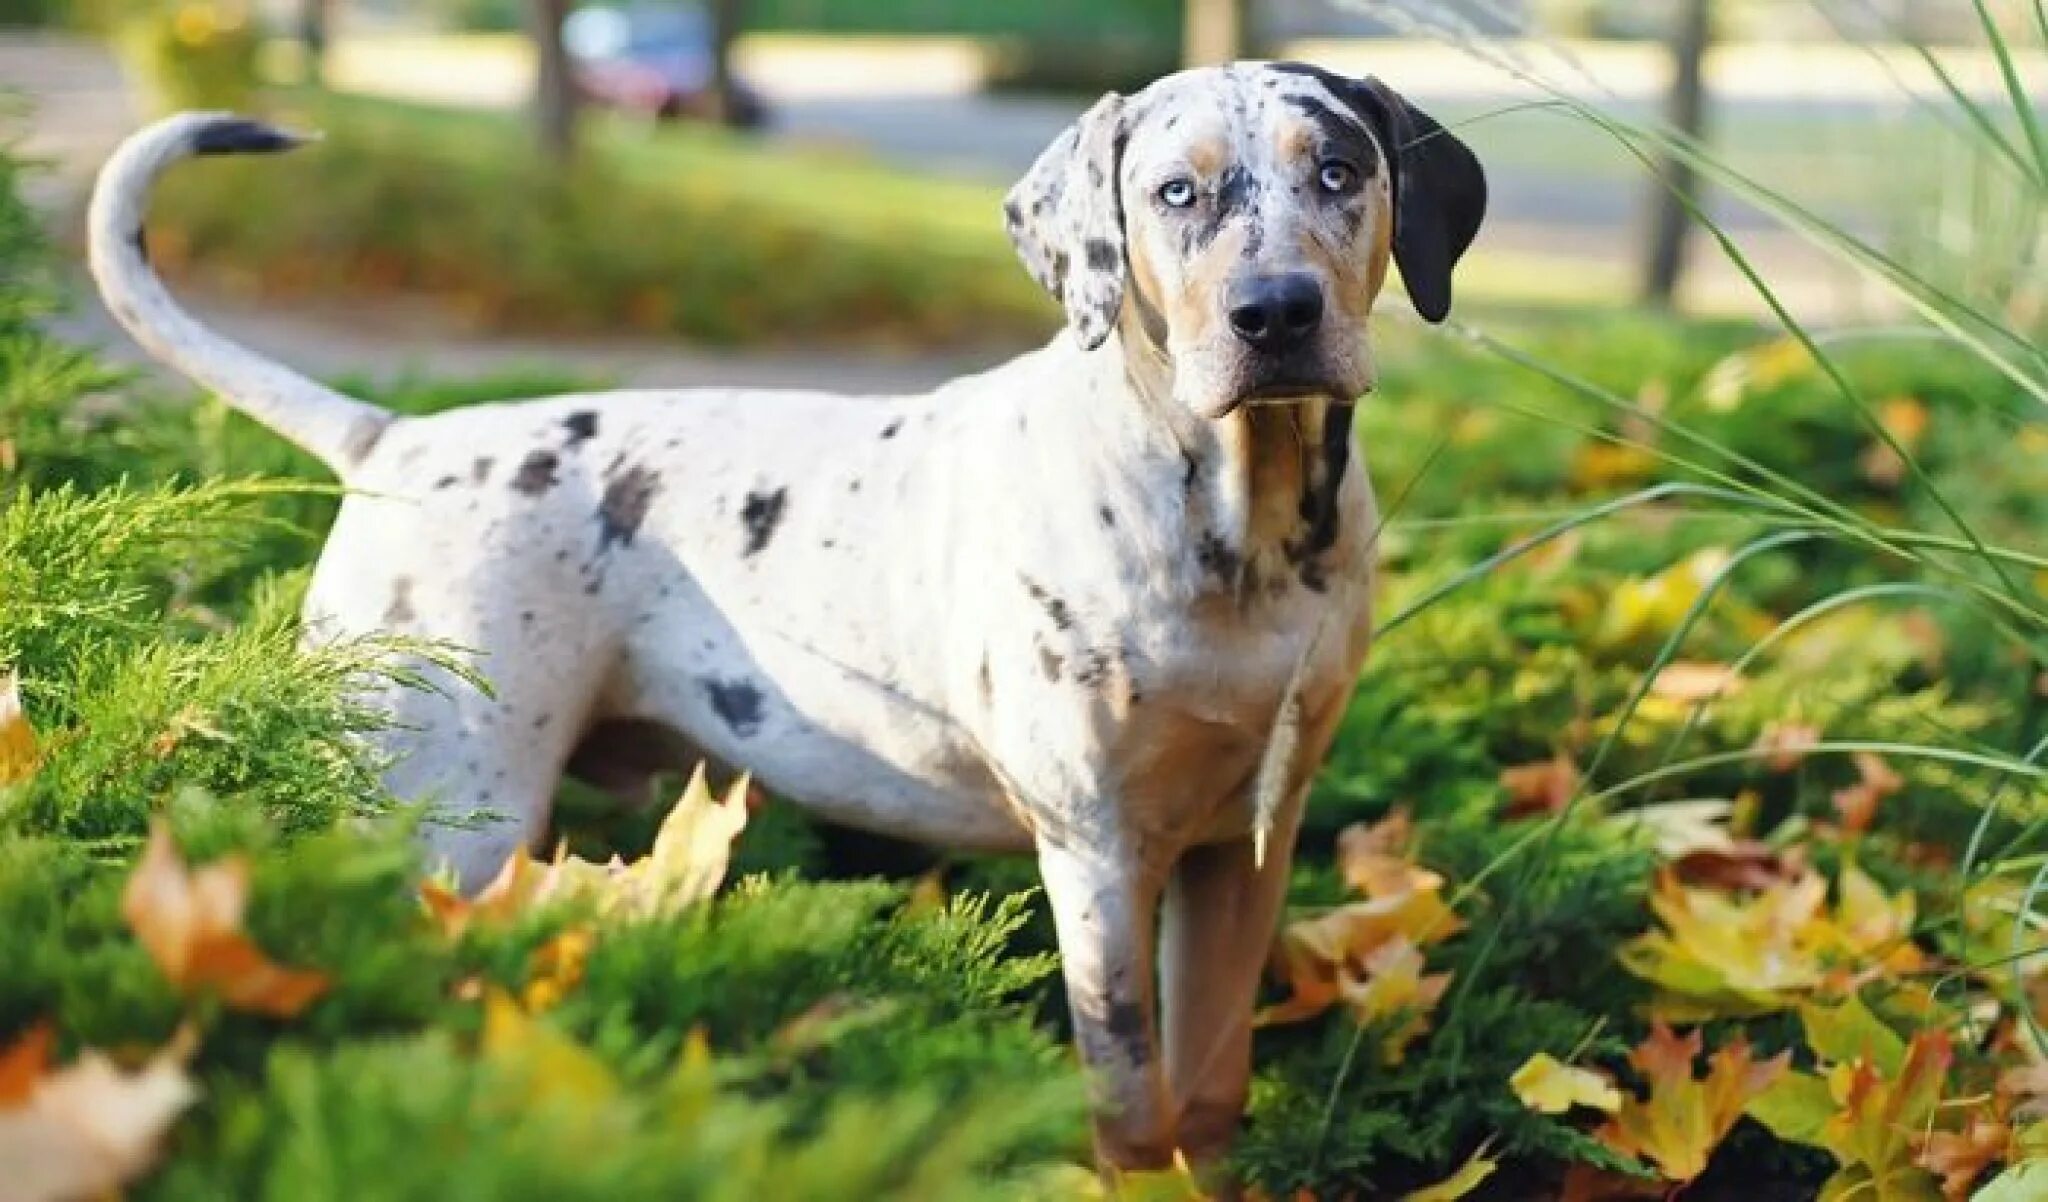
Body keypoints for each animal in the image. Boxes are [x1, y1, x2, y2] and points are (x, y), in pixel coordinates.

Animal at [88, 63, 1482, 1179]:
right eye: (1175, 194)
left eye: (1339, 168)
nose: (1276, 312)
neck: (1245, 528)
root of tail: (394, 439)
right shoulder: (1095, 851)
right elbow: (1130, 1103)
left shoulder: (1244, 840)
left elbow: (1209, 1086)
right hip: (443, 807)